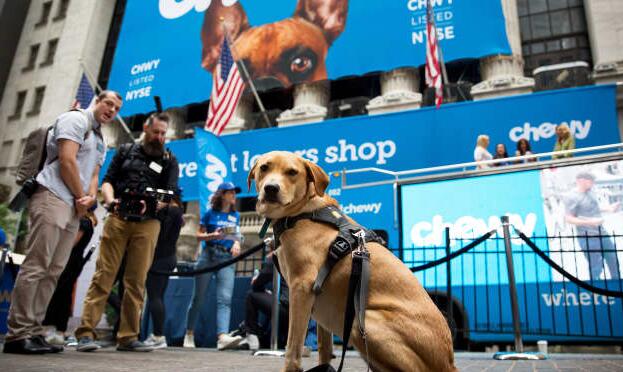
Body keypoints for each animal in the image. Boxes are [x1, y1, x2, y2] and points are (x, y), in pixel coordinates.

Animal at [249, 151, 458, 372]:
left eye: (292, 172)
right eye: (264, 168)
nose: (271, 188)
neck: (304, 212)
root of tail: (449, 362)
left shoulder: (301, 287)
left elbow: (293, 347)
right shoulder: (318, 299)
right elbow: (324, 349)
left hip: (362, 323)